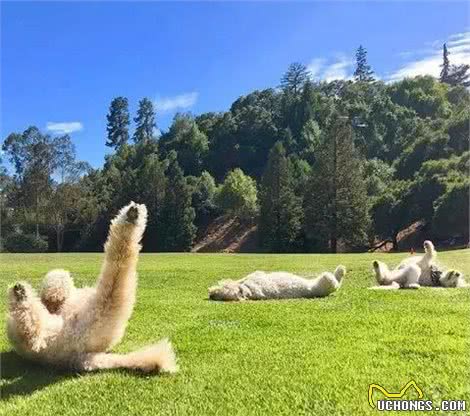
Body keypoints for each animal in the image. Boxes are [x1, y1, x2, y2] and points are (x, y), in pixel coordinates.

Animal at [208, 264, 346, 300]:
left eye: (222, 287)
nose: (211, 294)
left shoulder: (256, 274)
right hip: (325, 282)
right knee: (334, 280)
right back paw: (340, 271)